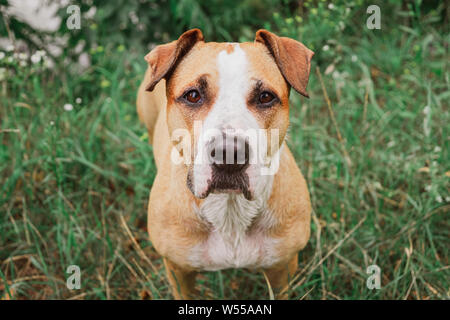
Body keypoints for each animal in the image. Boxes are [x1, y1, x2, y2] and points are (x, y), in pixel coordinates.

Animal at [136, 28, 312, 298]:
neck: (230, 209)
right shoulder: (178, 271)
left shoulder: (282, 269)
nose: (229, 155)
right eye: (193, 95)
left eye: (265, 97)